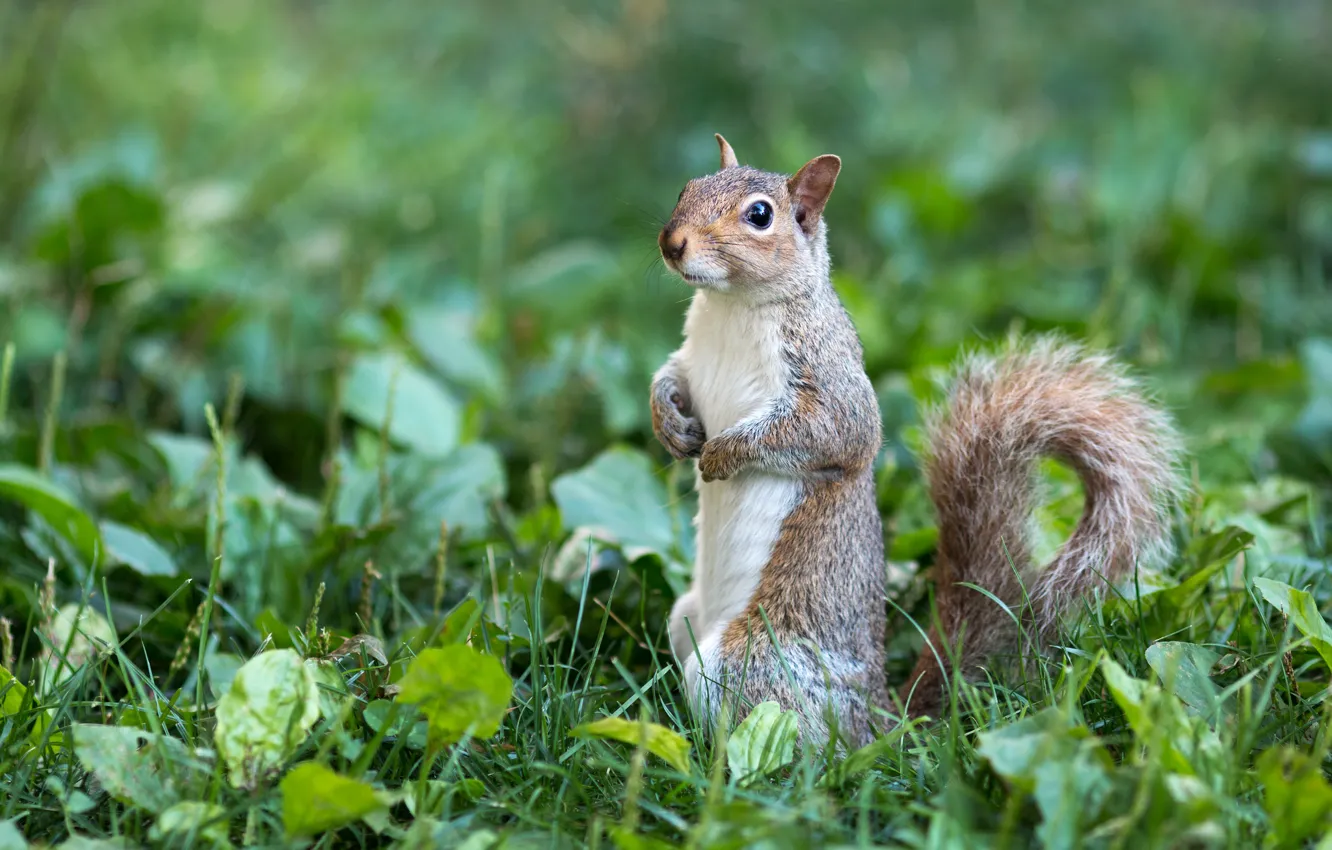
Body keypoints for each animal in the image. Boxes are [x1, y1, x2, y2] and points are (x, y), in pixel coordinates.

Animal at [650, 133, 1182, 746]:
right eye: (686, 188)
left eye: (760, 215)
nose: (671, 243)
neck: (730, 307)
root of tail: (880, 721)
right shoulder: (692, 358)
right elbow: (671, 377)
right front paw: (669, 424)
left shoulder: (828, 380)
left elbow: (831, 433)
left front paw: (722, 454)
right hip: (685, 620)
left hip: (751, 663)